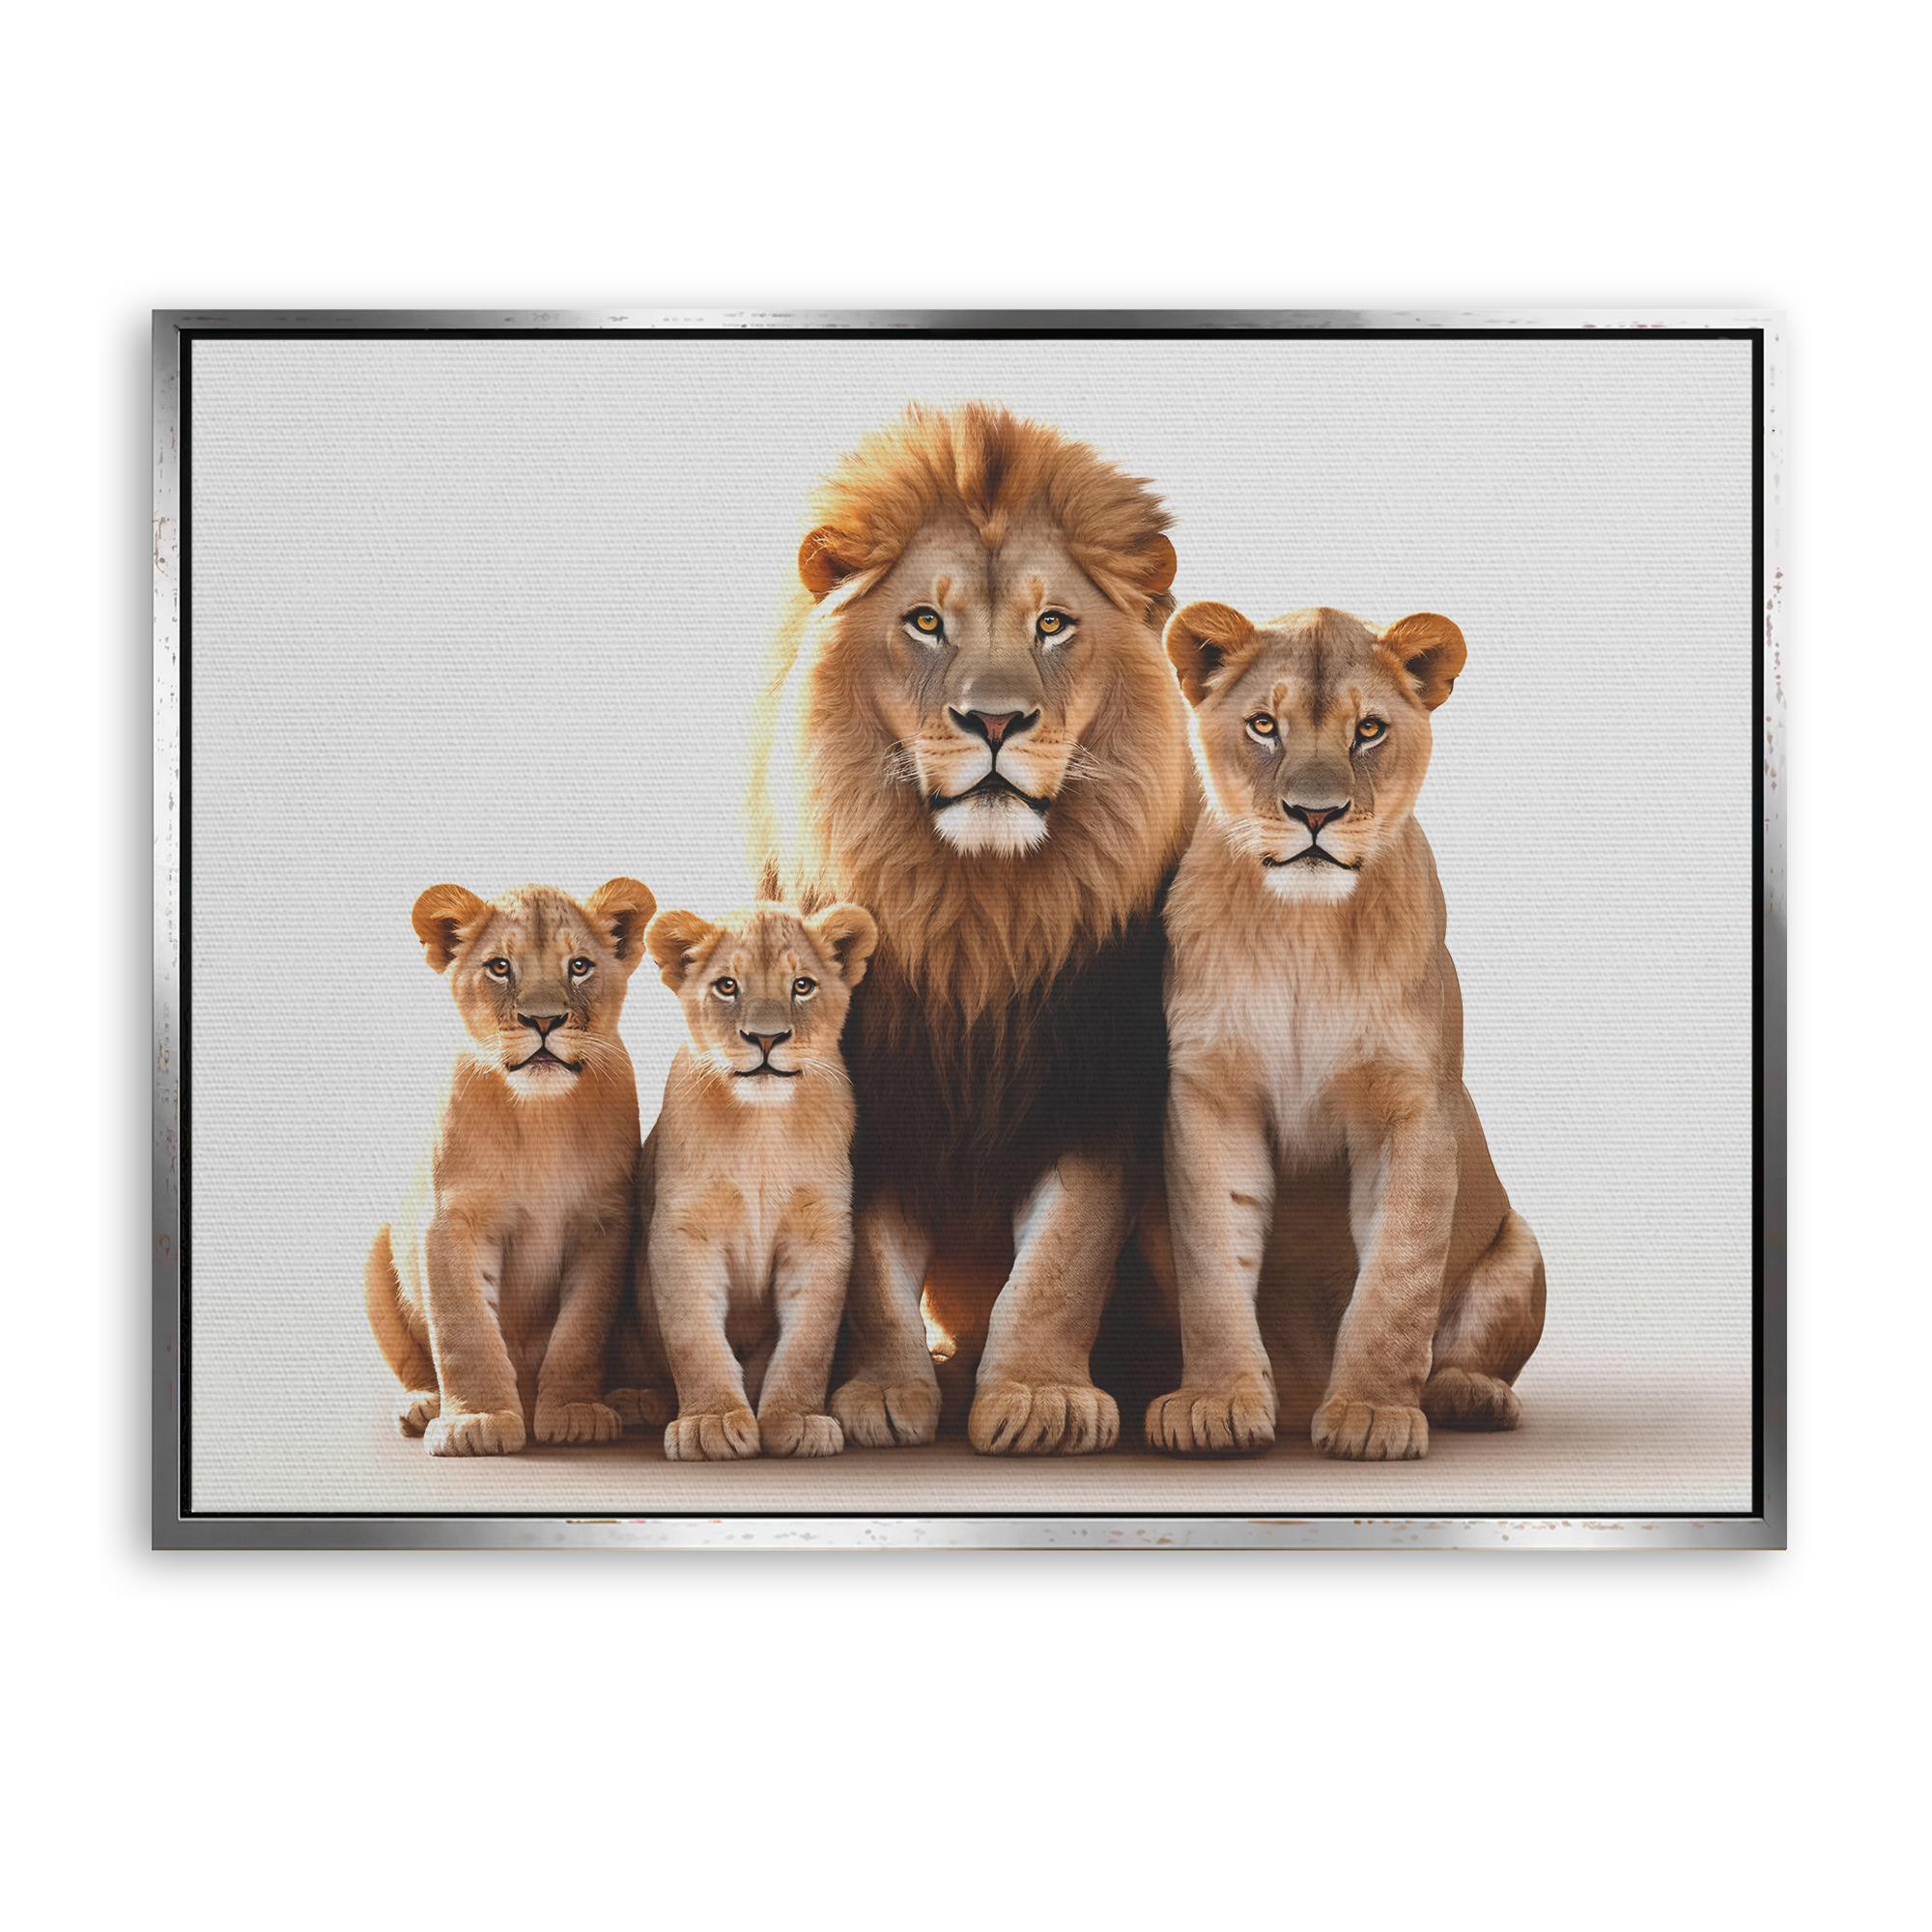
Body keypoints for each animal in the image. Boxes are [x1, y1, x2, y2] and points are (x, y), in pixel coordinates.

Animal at [364, 876, 657, 1456]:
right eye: (500, 966)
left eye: (579, 966)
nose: (543, 1021)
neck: (539, 1114)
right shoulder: (452, 1218)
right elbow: (464, 1327)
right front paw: (475, 1421)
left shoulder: (605, 1222)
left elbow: (582, 1329)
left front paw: (574, 1413)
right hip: (376, 1250)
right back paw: (422, 1404)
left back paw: (634, 1399)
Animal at [618, 899, 878, 1461]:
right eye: (727, 986)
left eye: (802, 985)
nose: (766, 1037)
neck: (762, 1125)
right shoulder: (683, 1229)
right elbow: (693, 1335)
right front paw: (709, 1421)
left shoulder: (821, 1230)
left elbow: (809, 1339)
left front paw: (796, 1418)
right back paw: (639, 1399)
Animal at [746, 403, 1193, 1456]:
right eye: (925, 621)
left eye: (1051, 623)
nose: (995, 721)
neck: (976, 920)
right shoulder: (870, 1096)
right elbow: (870, 1267)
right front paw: (880, 1394)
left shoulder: (1098, 1100)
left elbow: (1061, 1259)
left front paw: (1039, 1397)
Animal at [1147, 602, 1546, 1461]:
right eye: (1265, 725)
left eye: (1368, 730)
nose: (1315, 814)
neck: (1306, 930)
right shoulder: (1209, 1094)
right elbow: (1212, 1263)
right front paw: (1215, 1403)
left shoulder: (1413, 1105)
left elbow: (1398, 1275)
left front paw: (1371, 1412)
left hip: (1520, 1246)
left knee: (1468, 1350)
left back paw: (1469, 1396)